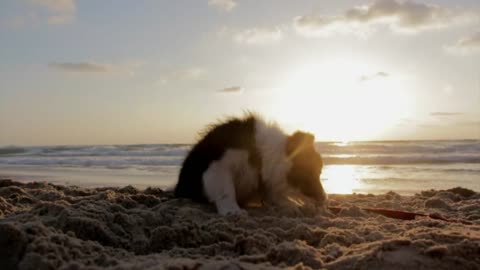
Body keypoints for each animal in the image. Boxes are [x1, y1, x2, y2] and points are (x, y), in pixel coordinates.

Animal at [174, 114, 328, 215]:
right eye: (309, 173)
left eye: (320, 172)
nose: (324, 199)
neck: (262, 153)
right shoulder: (218, 166)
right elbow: (226, 190)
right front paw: (232, 210)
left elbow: (274, 195)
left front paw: (288, 204)